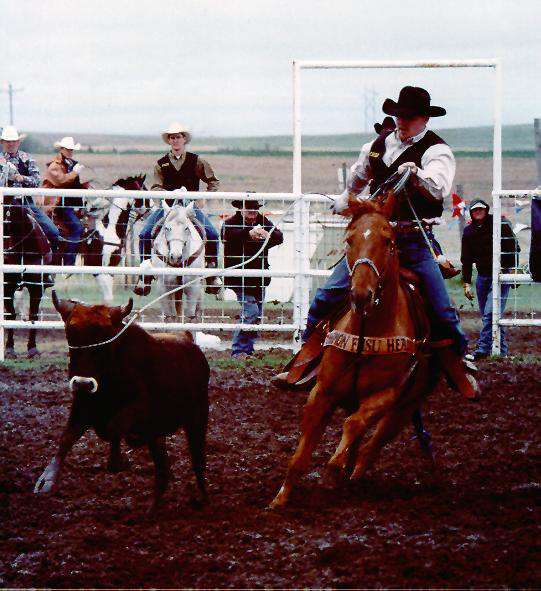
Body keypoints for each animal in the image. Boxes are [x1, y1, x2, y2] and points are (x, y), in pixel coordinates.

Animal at [268, 188, 436, 508]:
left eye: (388, 240)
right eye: (349, 239)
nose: (360, 295)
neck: (365, 334)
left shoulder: (386, 395)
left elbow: (353, 425)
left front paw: (333, 468)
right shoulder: (322, 391)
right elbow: (300, 454)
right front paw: (279, 501)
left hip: (405, 407)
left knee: (371, 444)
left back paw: (351, 475)